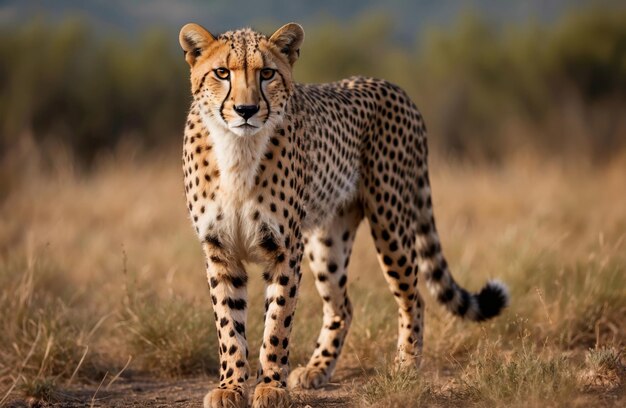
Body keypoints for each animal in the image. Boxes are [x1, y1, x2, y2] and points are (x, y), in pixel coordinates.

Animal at [178, 23, 504, 408]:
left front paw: (271, 386)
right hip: (327, 240)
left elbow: (277, 324)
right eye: (222, 73)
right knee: (343, 306)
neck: (238, 150)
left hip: (390, 222)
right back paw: (317, 368)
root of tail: (391, 86)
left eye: (267, 74)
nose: (246, 109)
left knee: (413, 297)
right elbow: (229, 326)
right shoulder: (221, 251)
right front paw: (230, 387)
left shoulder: (285, 250)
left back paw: (406, 367)